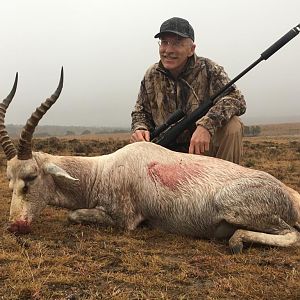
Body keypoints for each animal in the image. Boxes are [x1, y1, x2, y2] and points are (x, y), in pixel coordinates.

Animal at [0, 68, 300, 253]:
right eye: (10, 180)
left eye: (31, 177)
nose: (16, 226)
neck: (102, 170)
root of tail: (288, 194)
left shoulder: (124, 220)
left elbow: (74, 215)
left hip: (234, 207)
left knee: (292, 234)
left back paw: (236, 240)